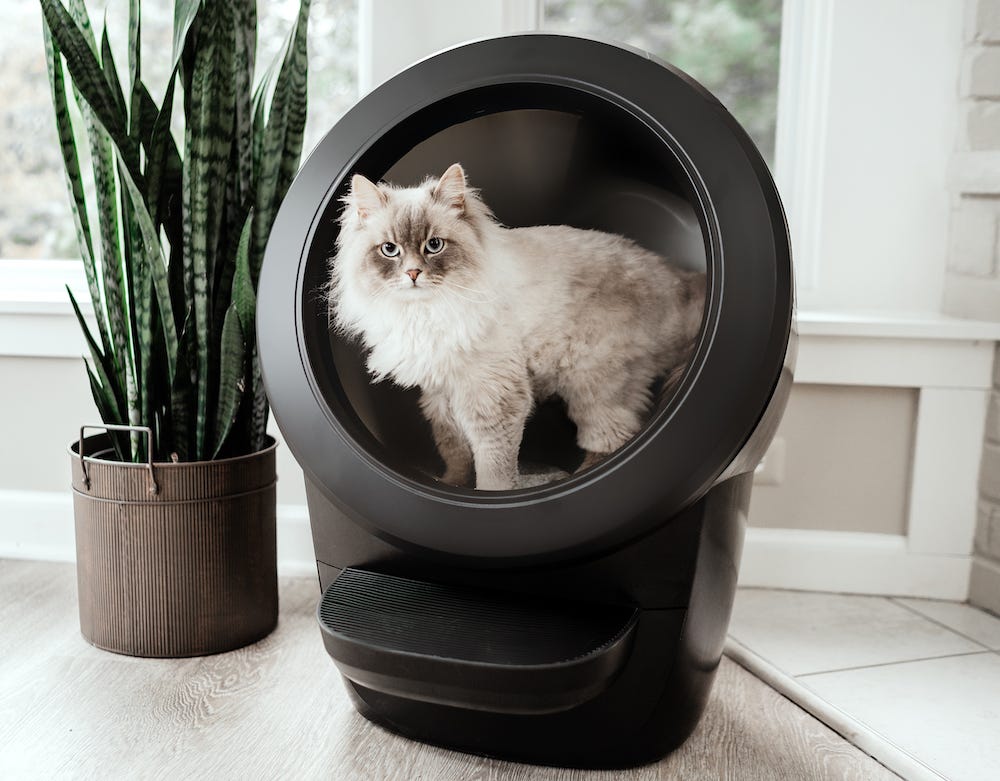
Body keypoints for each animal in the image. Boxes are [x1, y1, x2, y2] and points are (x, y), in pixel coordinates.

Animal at [328, 164, 704, 490]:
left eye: (434, 245)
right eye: (389, 250)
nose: (413, 273)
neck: (427, 312)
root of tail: (681, 281)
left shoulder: (491, 397)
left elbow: (492, 467)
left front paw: (490, 495)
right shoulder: (440, 394)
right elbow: (455, 452)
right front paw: (452, 485)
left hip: (594, 383)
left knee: (610, 441)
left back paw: (576, 478)